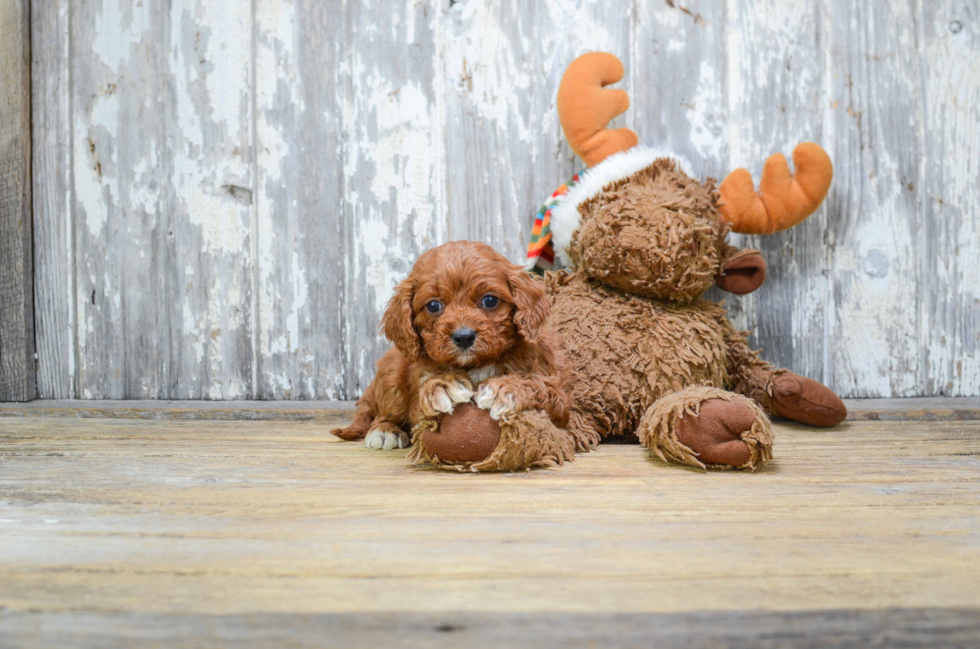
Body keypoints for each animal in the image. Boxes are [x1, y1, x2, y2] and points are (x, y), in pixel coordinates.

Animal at [332, 240, 572, 448]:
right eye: (433, 305)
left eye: (490, 300)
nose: (464, 336)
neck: (475, 365)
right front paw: (444, 386)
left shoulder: (559, 402)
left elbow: (537, 384)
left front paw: (503, 388)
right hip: (391, 375)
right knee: (381, 414)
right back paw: (385, 430)